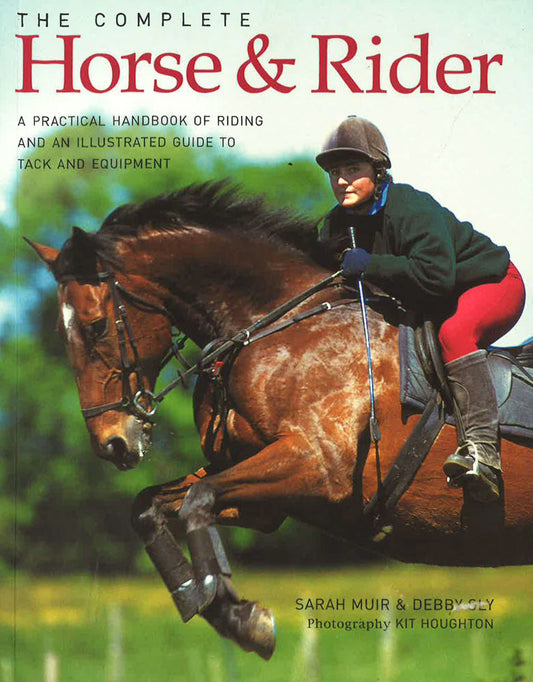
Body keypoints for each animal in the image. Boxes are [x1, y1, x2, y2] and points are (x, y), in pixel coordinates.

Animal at [26, 181, 533, 660]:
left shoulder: (319, 467)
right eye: (61, 333)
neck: (274, 326)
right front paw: (213, 605)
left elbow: (196, 499)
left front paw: (241, 618)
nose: (112, 443)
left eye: (95, 326)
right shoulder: (267, 498)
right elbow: (153, 506)